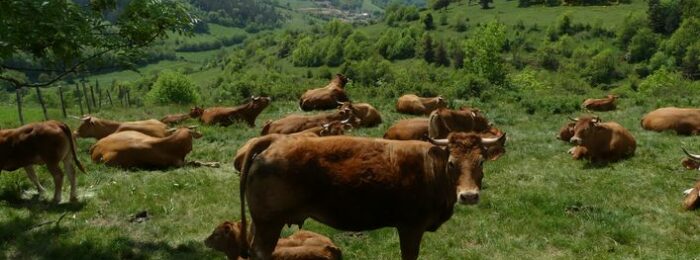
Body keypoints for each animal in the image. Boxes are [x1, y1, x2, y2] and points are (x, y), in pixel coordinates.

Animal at [238, 133, 506, 258]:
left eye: (481, 161)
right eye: (452, 163)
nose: (469, 196)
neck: (431, 169)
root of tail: (276, 140)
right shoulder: (411, 227)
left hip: (259, 222)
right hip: (269, 222)